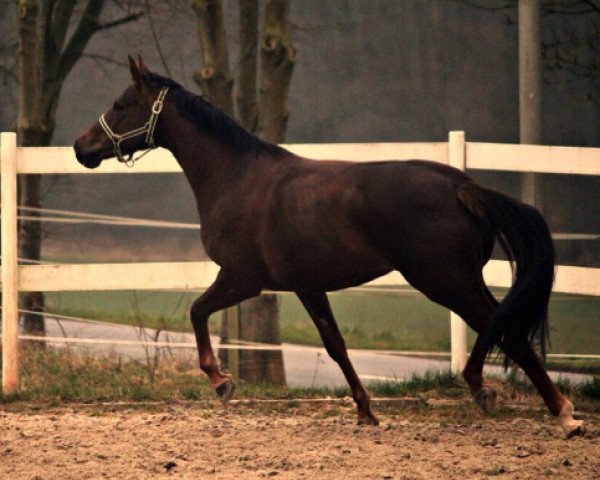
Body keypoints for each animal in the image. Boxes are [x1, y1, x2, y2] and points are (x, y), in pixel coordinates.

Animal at [72, 55, 584, 436]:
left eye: (120, 104)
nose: (81, 147)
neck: (238, 178)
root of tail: (460, 185)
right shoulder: (303, 285)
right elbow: (335, 345)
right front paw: (366, 411)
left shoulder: (244, 279)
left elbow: (198, 312)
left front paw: (221, 382)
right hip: (453, 280)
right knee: (501, 323)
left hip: (444, 280)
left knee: (504, 328)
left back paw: (538, 406)